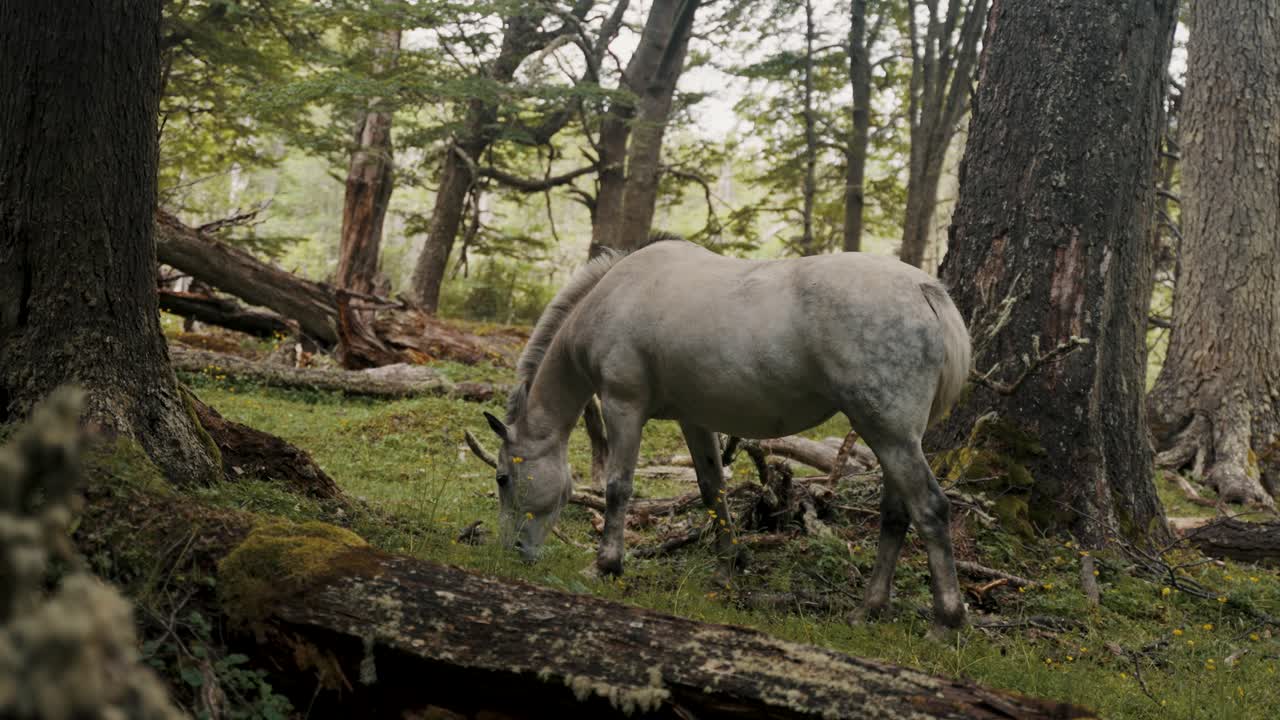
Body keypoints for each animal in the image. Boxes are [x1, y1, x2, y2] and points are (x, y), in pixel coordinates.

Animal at [480, 237, 972, 633]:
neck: (615, 296)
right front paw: (727, 566)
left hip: (889, 434)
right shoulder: (694, 420)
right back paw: (868, 609)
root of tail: (925, 291)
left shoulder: (624, 406)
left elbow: (618, 487)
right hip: (892, 437)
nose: (514, 550)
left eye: (503, 478)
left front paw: (606, 564)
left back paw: (946, 620)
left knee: (930, 509)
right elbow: (711, 488)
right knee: (897, 514)